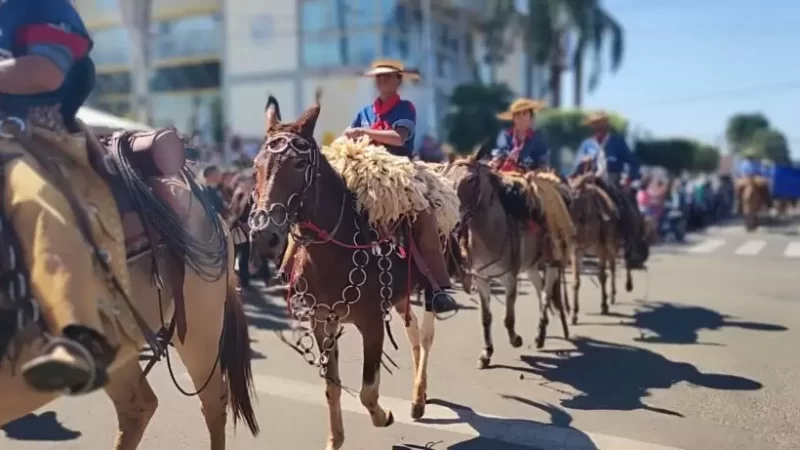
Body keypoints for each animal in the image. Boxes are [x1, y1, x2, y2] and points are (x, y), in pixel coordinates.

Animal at [247, 96, 446, 450]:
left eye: (299, 164)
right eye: (257, 164)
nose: (263, 234)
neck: (332, 252)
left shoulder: (372, 322)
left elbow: (367, 391)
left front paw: (384, 416)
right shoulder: (322, 321)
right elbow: (332, 386)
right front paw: (335, 439)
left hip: (427, 286)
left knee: (425, 335)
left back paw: (419, 398)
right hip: (401, 297)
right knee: (413, 335)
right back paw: (417, 397)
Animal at [440, 155, 572, 370]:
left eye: (470, 180)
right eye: (446, 178)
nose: (453, 219)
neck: (490, 231)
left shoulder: (510, 277)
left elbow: (508, 317)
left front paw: (515, 339)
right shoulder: (481, 278)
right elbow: (486, 318)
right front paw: (486, 353)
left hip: (551, 261)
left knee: (545, 295)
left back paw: (540, 335)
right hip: (531, 266)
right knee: (539, 289)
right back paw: (541, 331)